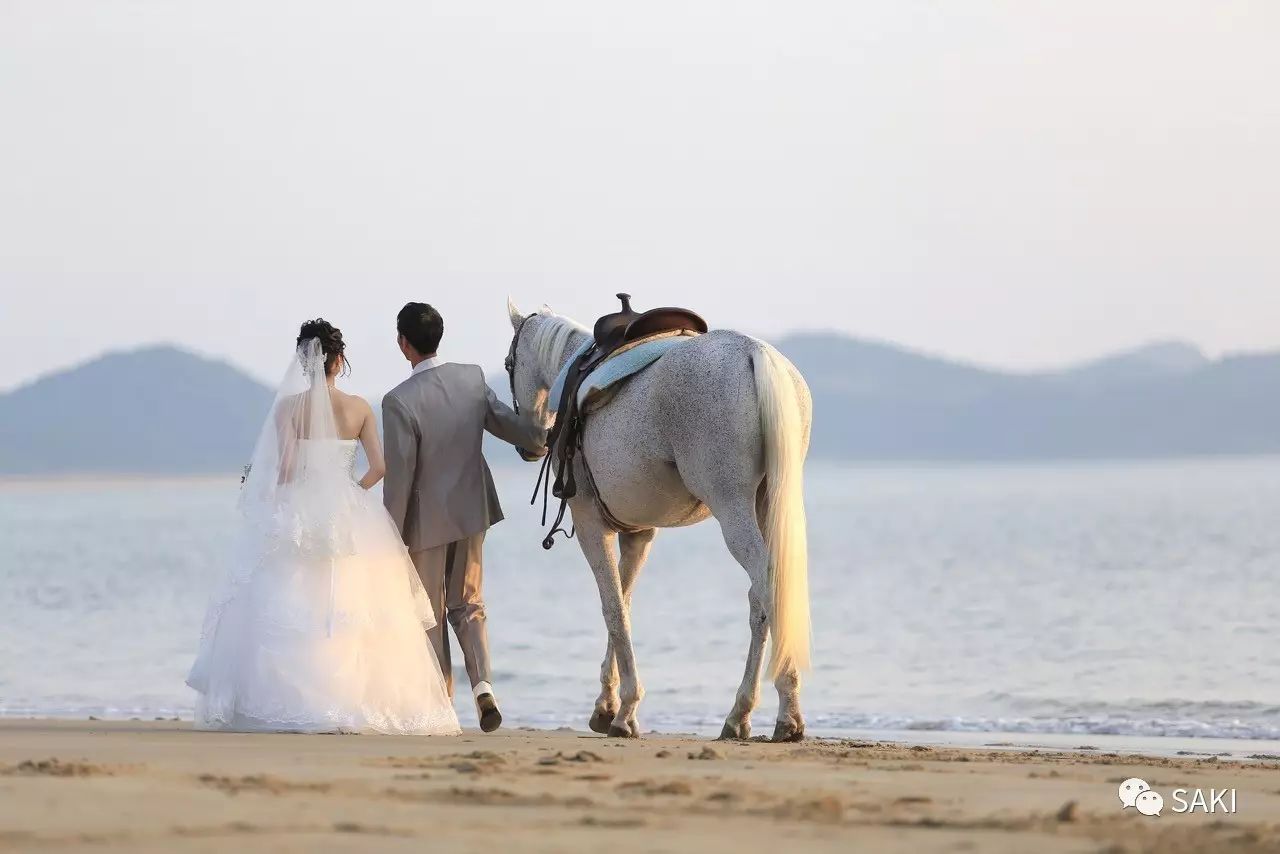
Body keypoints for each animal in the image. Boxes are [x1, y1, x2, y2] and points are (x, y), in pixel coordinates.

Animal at [504, 300, 814, 742]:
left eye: (509, 363)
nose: (529, 445)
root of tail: (753, 352)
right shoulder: (639, 535)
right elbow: (624, 602)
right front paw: (607, 706)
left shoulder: (590, 526)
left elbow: (613, 609)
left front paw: (625, 710)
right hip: (766, 505)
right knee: (768, 594)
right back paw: (757, 713)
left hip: (733, 508)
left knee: (765, 589)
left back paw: (770, 712)